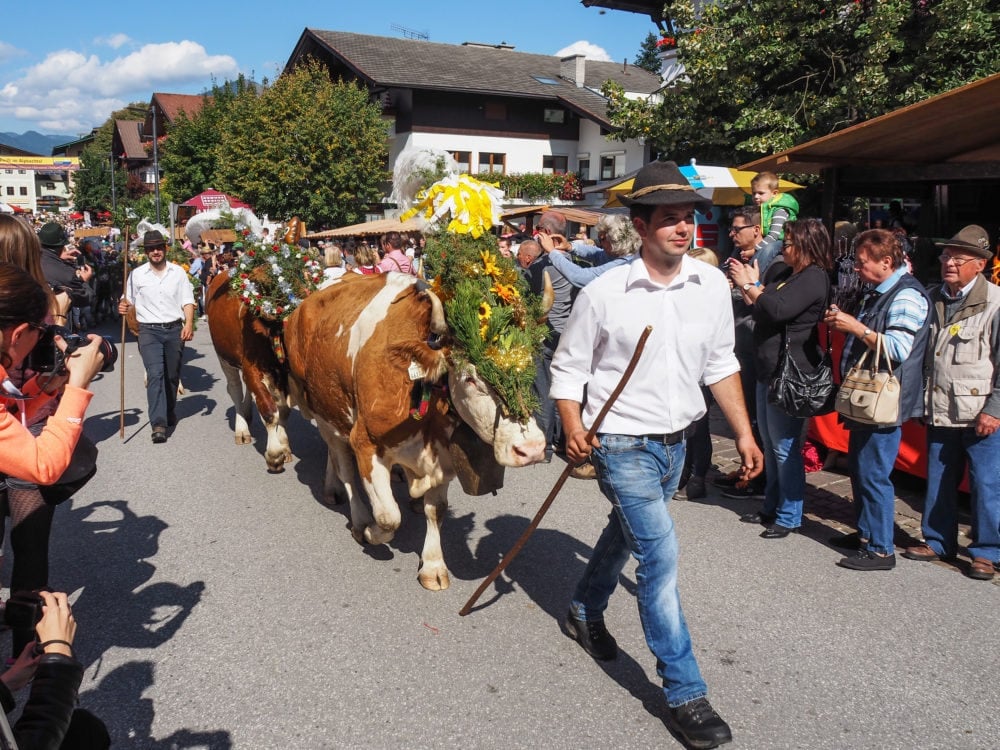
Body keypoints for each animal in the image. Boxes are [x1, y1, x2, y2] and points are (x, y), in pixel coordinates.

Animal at [205, 274, 292, 472]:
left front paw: (284, 446)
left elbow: (283, 411)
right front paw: (274, 454)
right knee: (235, 388)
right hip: (224, 356)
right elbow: (270, 411)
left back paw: (247, 412)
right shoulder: (252, 369)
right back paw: (242, 429)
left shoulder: (284, 376)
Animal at [282, 274, 548, 592]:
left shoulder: (441, 457)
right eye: (470, 379)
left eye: (530, 369)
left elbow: (437, 510)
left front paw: (433, 566)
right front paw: (371, 532)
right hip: (323, 409)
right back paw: (355, 515)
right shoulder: (366, 442)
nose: (531, 448)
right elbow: (388, 517)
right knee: (343, 464)